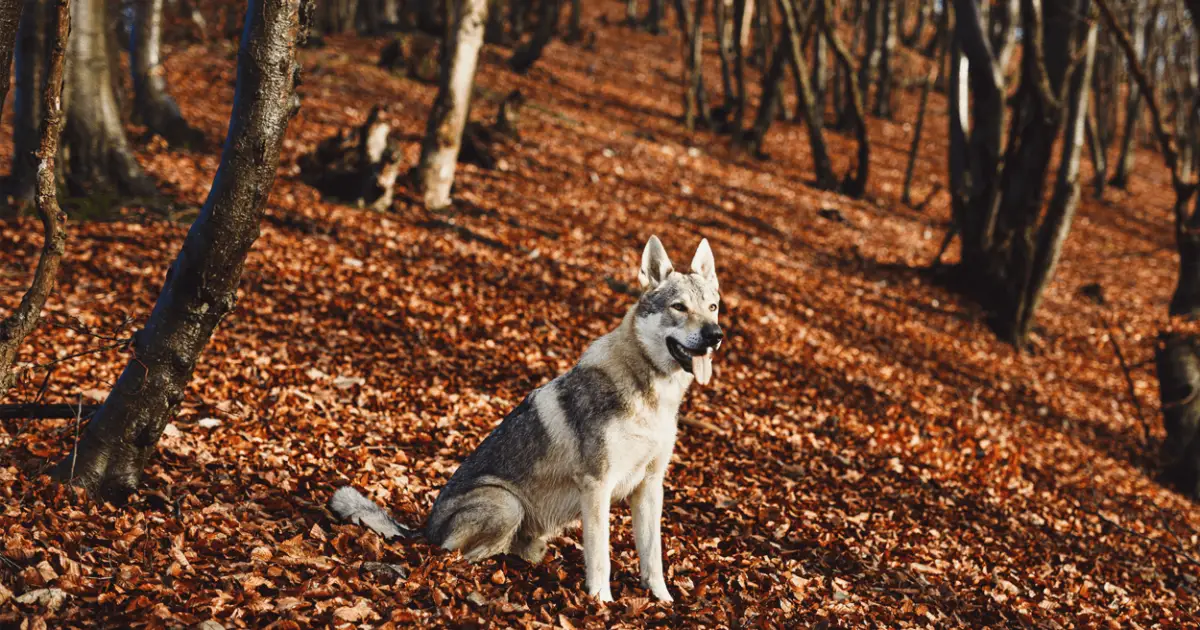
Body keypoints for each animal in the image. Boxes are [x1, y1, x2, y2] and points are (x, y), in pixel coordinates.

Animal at [328, 234, 720, 600]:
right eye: (679, 307)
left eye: (713, 307)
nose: (715, 335)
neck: (653, 393)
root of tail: (424, 528)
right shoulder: (597, 485)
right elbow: (601, 558)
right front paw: (601, 603)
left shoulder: (650, 486)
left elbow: (653, 557)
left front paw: (662, 601)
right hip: (507, 504)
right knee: (453, 554)